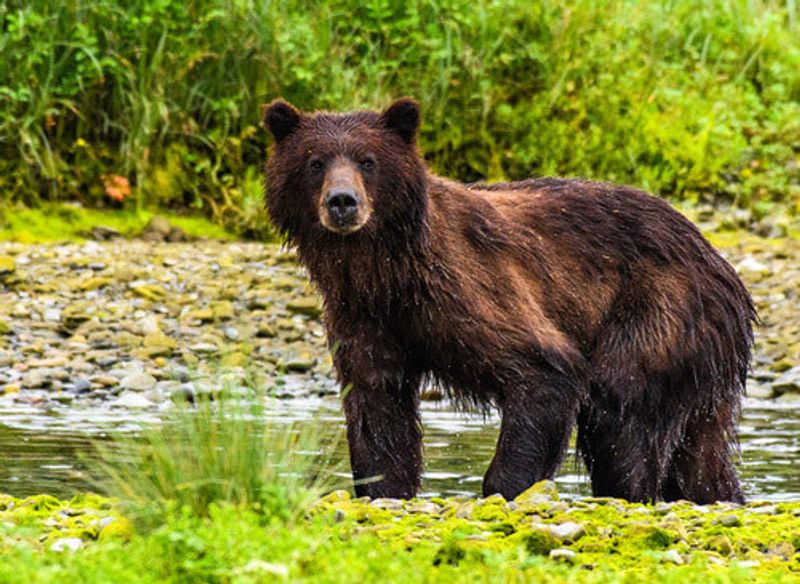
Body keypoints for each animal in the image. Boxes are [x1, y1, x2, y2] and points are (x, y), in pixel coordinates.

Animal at [264, 98, 756, 504]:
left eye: (368, 161)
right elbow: (376, 404)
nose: (342, 202)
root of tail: (717, 259)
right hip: (699, 362)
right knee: (701, 456)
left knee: (620, 415)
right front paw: (383, 486)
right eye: (315, 162)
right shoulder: (363, 315)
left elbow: (542, 368)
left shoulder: (466, 286)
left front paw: (505, 488)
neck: (383, 270)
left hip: (659, 310)